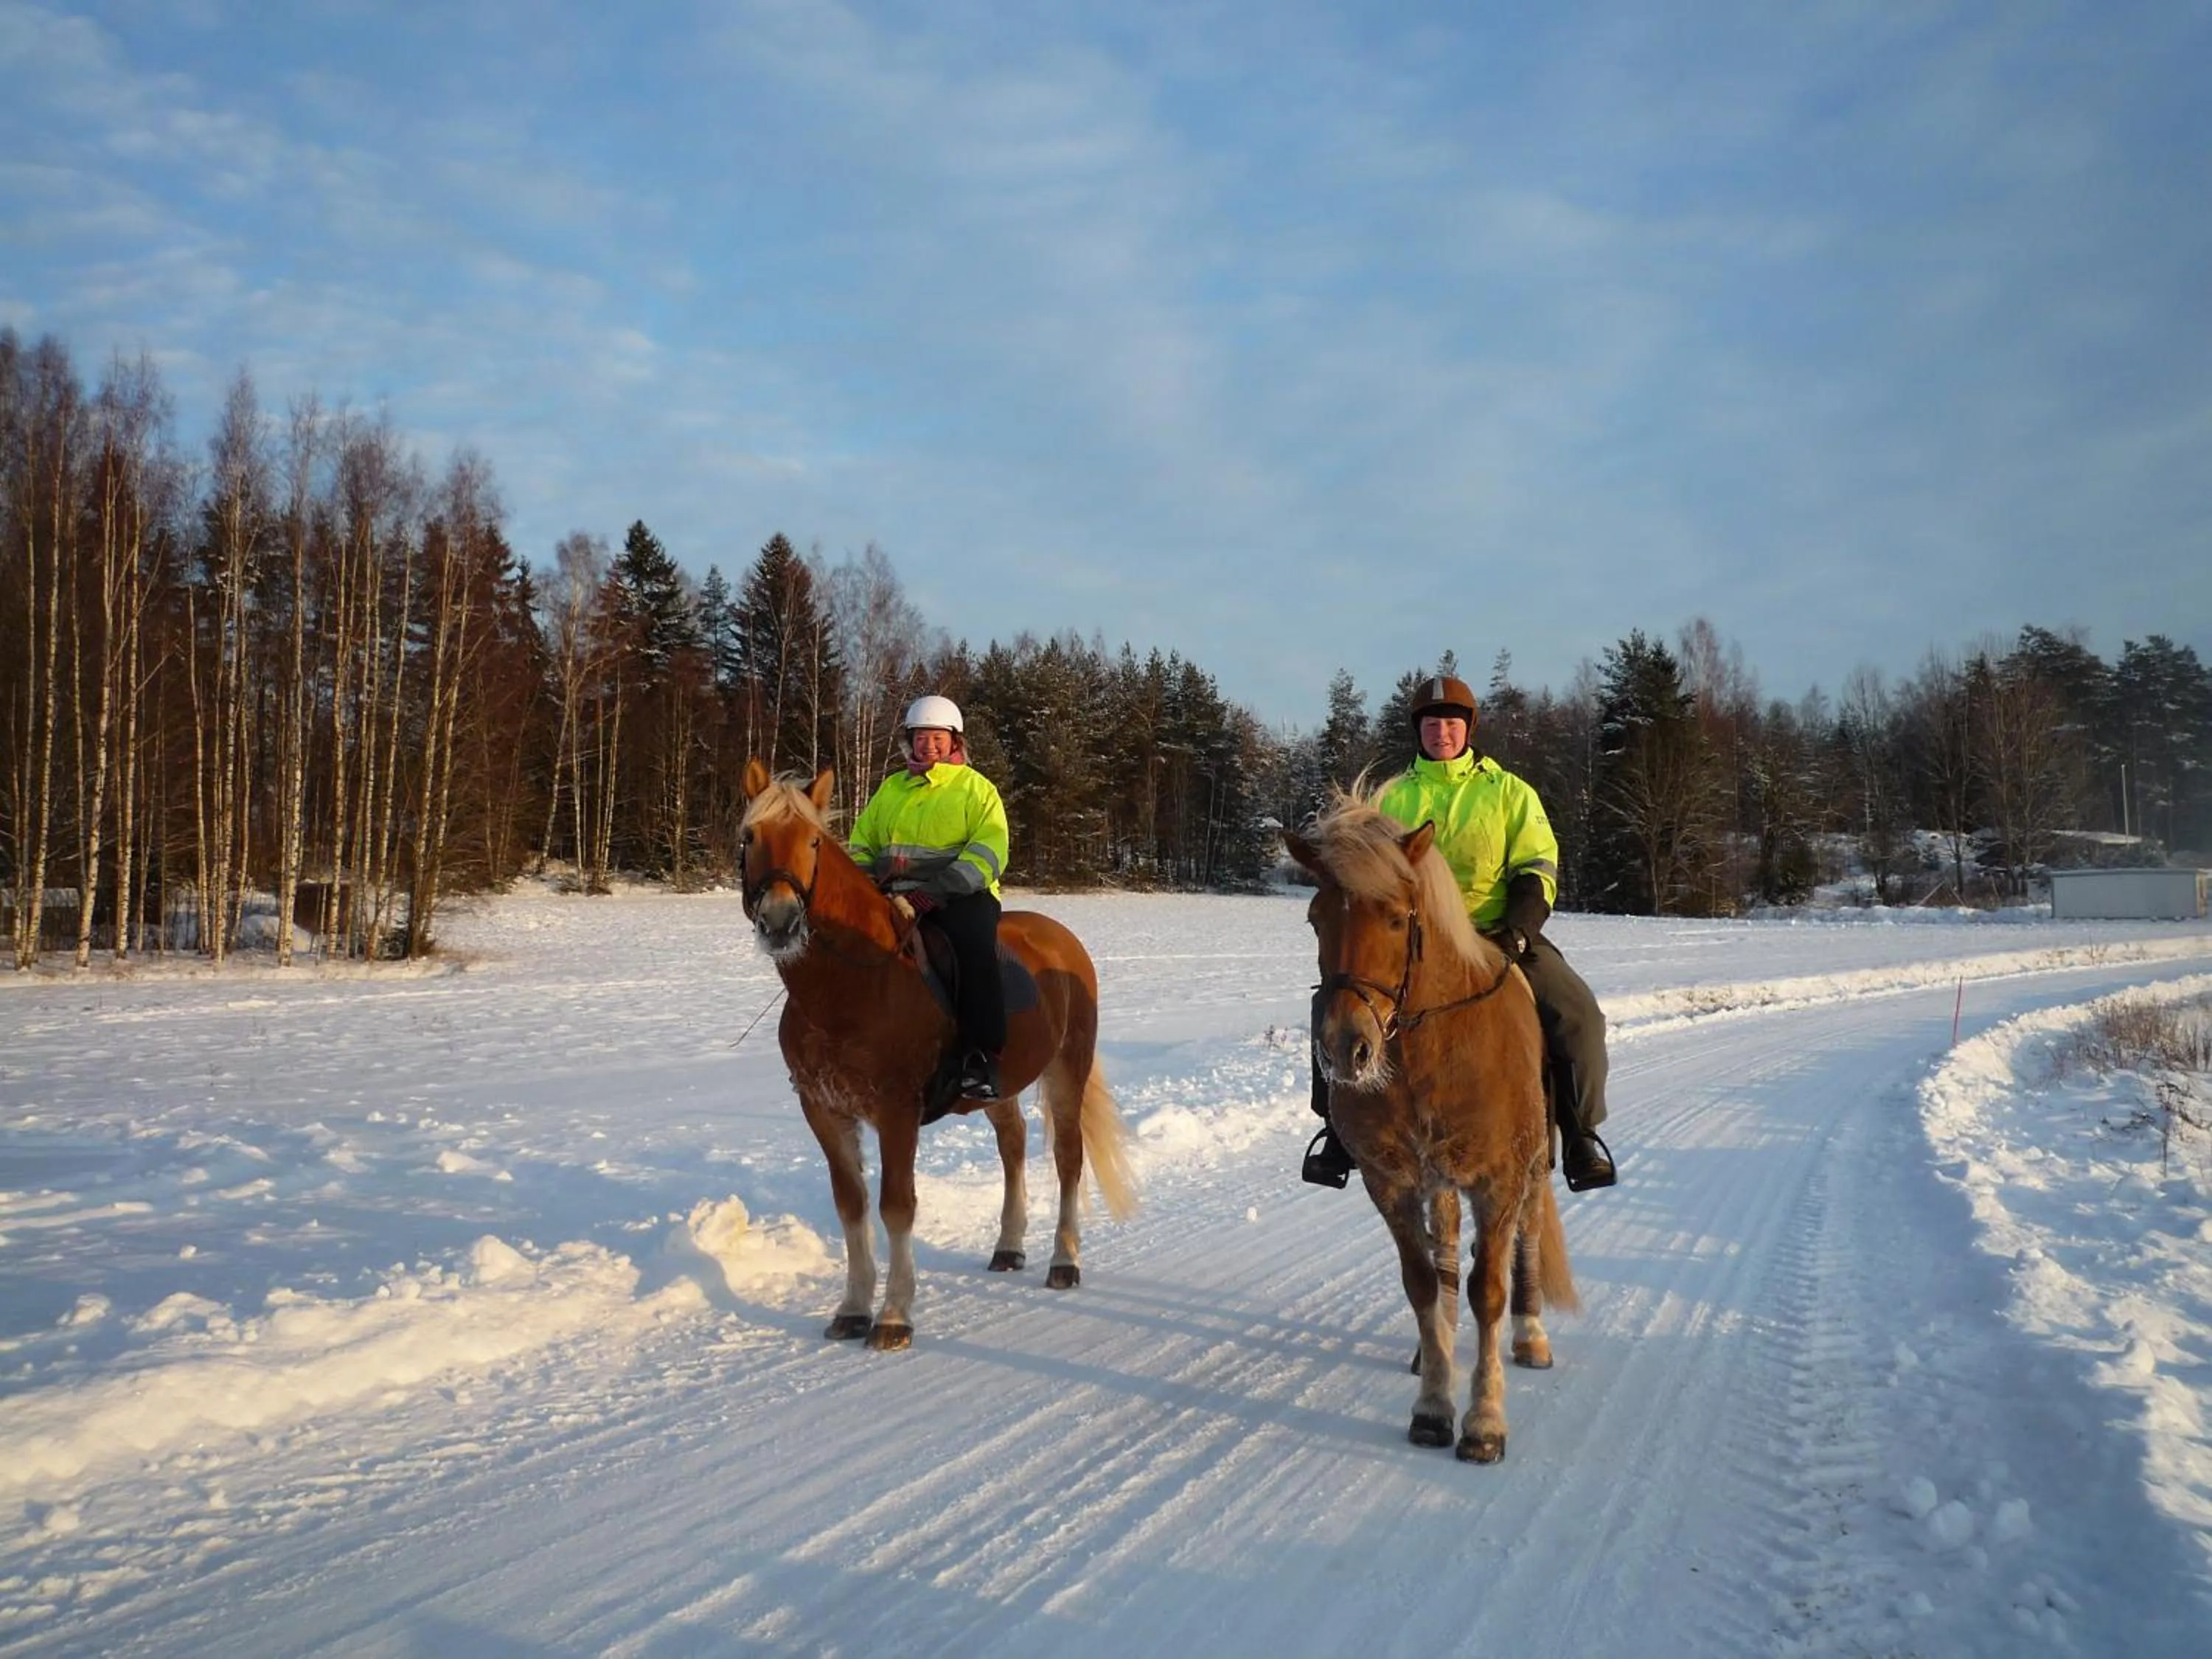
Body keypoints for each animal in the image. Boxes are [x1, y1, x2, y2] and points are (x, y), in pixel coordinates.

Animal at [738, 760, 1138, 1350]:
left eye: (813, 840)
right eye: (750, 837)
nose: (781, 922)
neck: (851, 985)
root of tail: (1062, 939)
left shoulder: (897, 1111)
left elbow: (897, 1206)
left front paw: (894, 1316)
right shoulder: (824, 1111)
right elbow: (851, 1205)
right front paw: (852, 1308)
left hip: (1069, 1068)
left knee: (1068, 1158)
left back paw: (1064, 1261)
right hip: (1002, 1083)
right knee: (1013, 1146)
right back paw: (1008, 1247)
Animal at [1284, 793, 1576, 1462]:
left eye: (1397, 919)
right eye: (1315, 919)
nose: (1345, 1049)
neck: (1430, 1053)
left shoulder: (1498, 1182)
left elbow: (1488, 1289)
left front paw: (1484, 1422)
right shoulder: (1390, 1182)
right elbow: (1420, 1282)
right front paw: (1434, 1407)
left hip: (1529, 1170)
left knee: (1525, 1239)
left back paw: (1531, 1337)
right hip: (1438, 1180)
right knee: (1444, 1251)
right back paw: (1433, 1349)